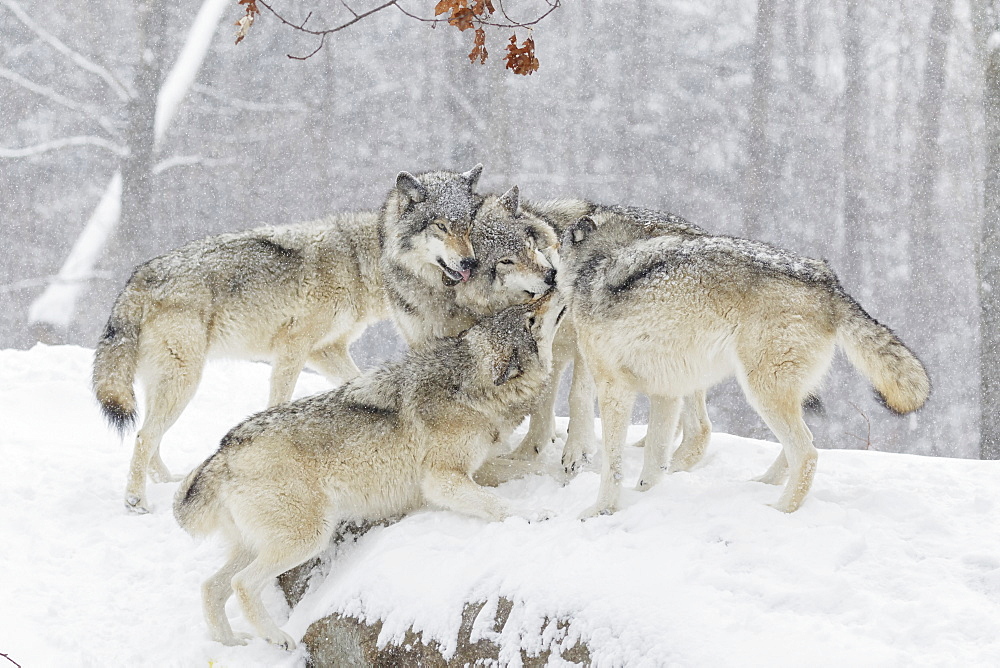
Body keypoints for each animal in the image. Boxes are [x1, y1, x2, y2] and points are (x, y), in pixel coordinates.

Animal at [93, 164, 484, 516]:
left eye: (468, 227)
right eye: (441, 226)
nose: (470, 263)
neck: (358, 264)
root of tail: (138, 277)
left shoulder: (326, 350)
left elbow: (353, 381)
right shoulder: (294, 347)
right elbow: (279, 397)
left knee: (149, 434)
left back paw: (165, 481)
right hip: (184, 379)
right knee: (144, 436)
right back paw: (136, 502)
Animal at [175, 290, 568, 648]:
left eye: (527, 309)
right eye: (530, 319)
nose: (555, 286)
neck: (469, 389)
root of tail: (223, 451)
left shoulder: (478, 468)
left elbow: (528, 470)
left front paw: (566, 478)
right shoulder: (443, 481)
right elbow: (497, 504)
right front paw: (536, 514)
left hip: (259, 544)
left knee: (210, 587)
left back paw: (229, 643)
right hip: (308, 538)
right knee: (241, 584)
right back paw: (277, 638)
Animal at [564, 211, 928, 516]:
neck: (596, 260)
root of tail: (829, 281)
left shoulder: (614, 389)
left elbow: (612, 464)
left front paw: (600, 511)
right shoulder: (665, 394)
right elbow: (655, 461)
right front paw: (644, 498)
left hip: (761, 390)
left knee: (807, 453)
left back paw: (779, 509)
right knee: (805, 444)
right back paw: (762, 485)